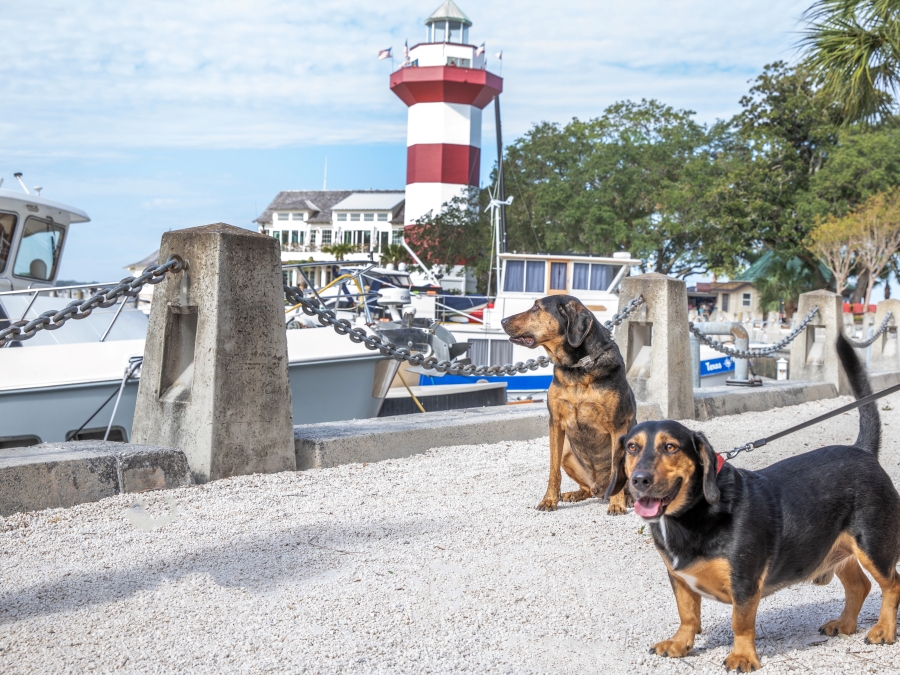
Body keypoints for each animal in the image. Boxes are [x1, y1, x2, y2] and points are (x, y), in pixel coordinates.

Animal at [502, 294, 636, 512]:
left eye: (536, 308)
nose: (503, 321)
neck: (576, 367)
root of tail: (601, 490)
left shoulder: (618, 425)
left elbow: (617, 470)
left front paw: (618, 505)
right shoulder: (555, 422)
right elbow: (553, 469)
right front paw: (549, 499)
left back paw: (629, 498)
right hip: (568, 453)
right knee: (587, 488)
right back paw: (575, 494)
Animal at [604, 336, 900, 672]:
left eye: (670, 447)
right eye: (632, 447)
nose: (639, 480)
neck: (691, 515)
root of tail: (862, 451)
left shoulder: (745, 583)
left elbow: (741, 622)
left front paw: (743, 656)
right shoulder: (679, 579)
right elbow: (687, 614)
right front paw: (680, 644)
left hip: (873, 547)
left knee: (892, 585)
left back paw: (884, 630)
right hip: (837, 548)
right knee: (859, 586)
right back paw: (845, 624)